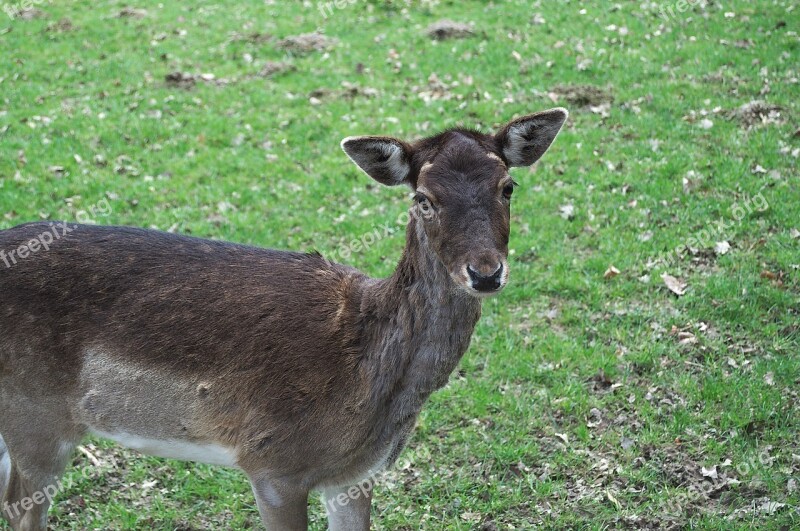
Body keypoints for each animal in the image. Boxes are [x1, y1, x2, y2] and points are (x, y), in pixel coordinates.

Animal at [0, 109, 568, 531]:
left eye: (508, 186)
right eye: (423, 198)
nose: (485, 272)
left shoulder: (356, 476)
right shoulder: (273, 465)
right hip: (37, 422)